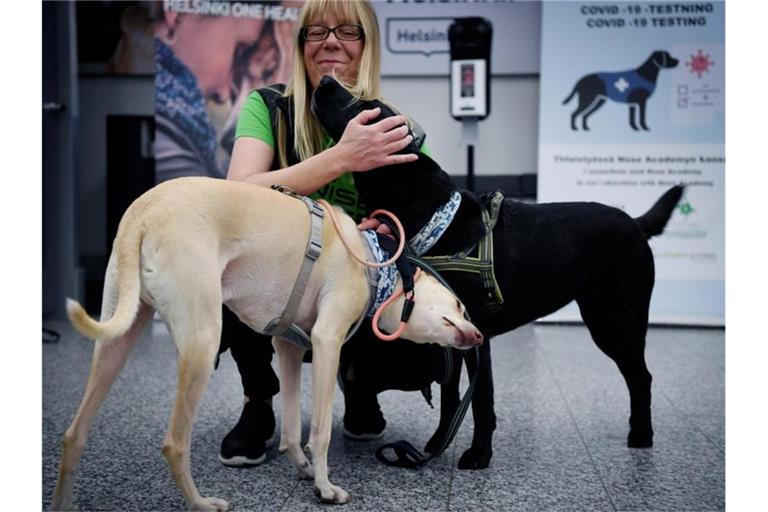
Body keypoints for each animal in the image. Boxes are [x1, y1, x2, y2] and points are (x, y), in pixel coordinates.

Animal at [51, 177, 484, 512]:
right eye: (460, 306)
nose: (479, 335)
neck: (373, 261)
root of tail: (143, 212)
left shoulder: (288, 348)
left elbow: (292, 427)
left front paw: (302, 467)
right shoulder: (327, 342)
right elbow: (321, 431)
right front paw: (325, 489)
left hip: (116, 340)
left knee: (74, 435)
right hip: (202, 342)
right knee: (174, 443)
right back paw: (201, 503)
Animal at [312, 74, 684, 470]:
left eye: (363, 106)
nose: (325, 79)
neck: (438, 218)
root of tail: (636, 223)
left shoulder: (478, 335)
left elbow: (481, 400)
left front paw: (479, 454)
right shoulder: (449, 333)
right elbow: (450, 396)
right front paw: (437, 443)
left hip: (623, 320)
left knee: (641, 375)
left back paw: (641, 435)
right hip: (601, 321)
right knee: (636, 374)